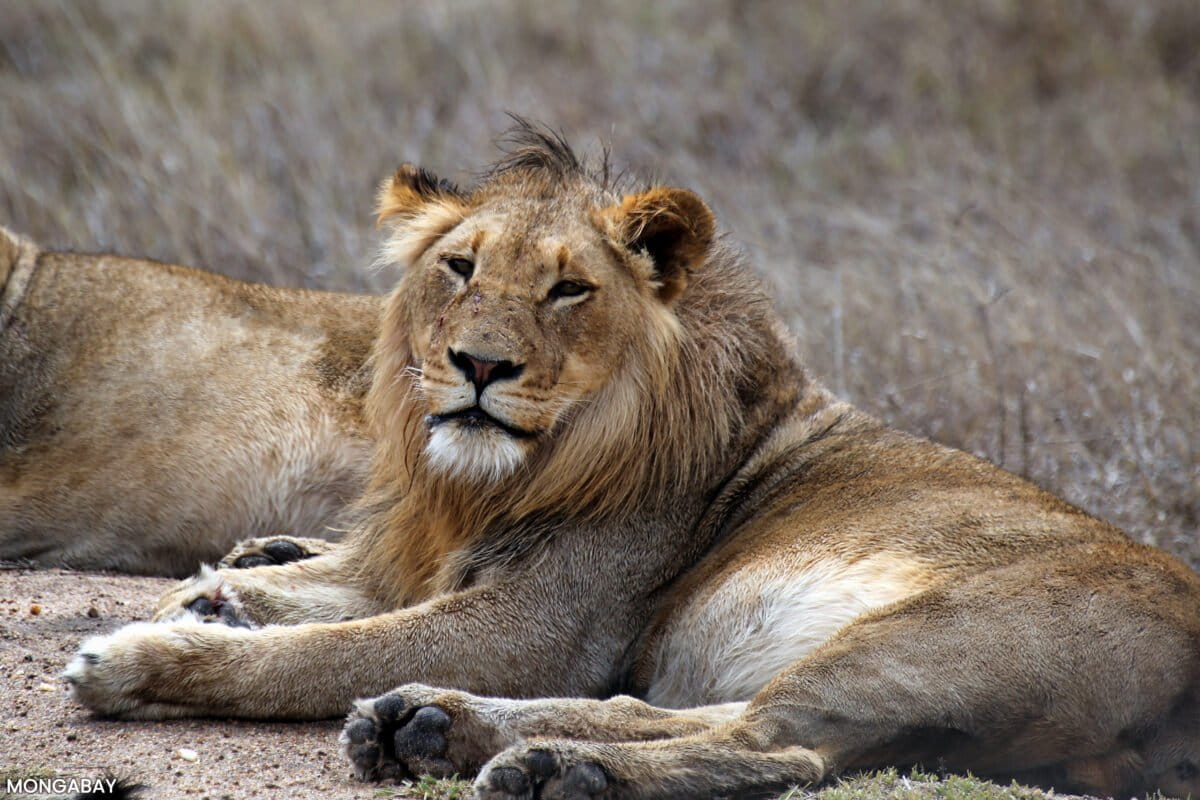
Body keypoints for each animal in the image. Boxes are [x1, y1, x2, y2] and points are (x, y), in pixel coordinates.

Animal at [65, 126, 1200, 800]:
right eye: (460, 266)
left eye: (569, 289)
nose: (481, 364)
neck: (507, 473)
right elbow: (338, 589)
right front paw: (226, 590)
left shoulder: (542, 625)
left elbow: (323, 650)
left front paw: (150, 654)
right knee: (679, 710)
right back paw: (427, 724)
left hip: (934, 634)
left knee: (773, 744)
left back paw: (547, 765)